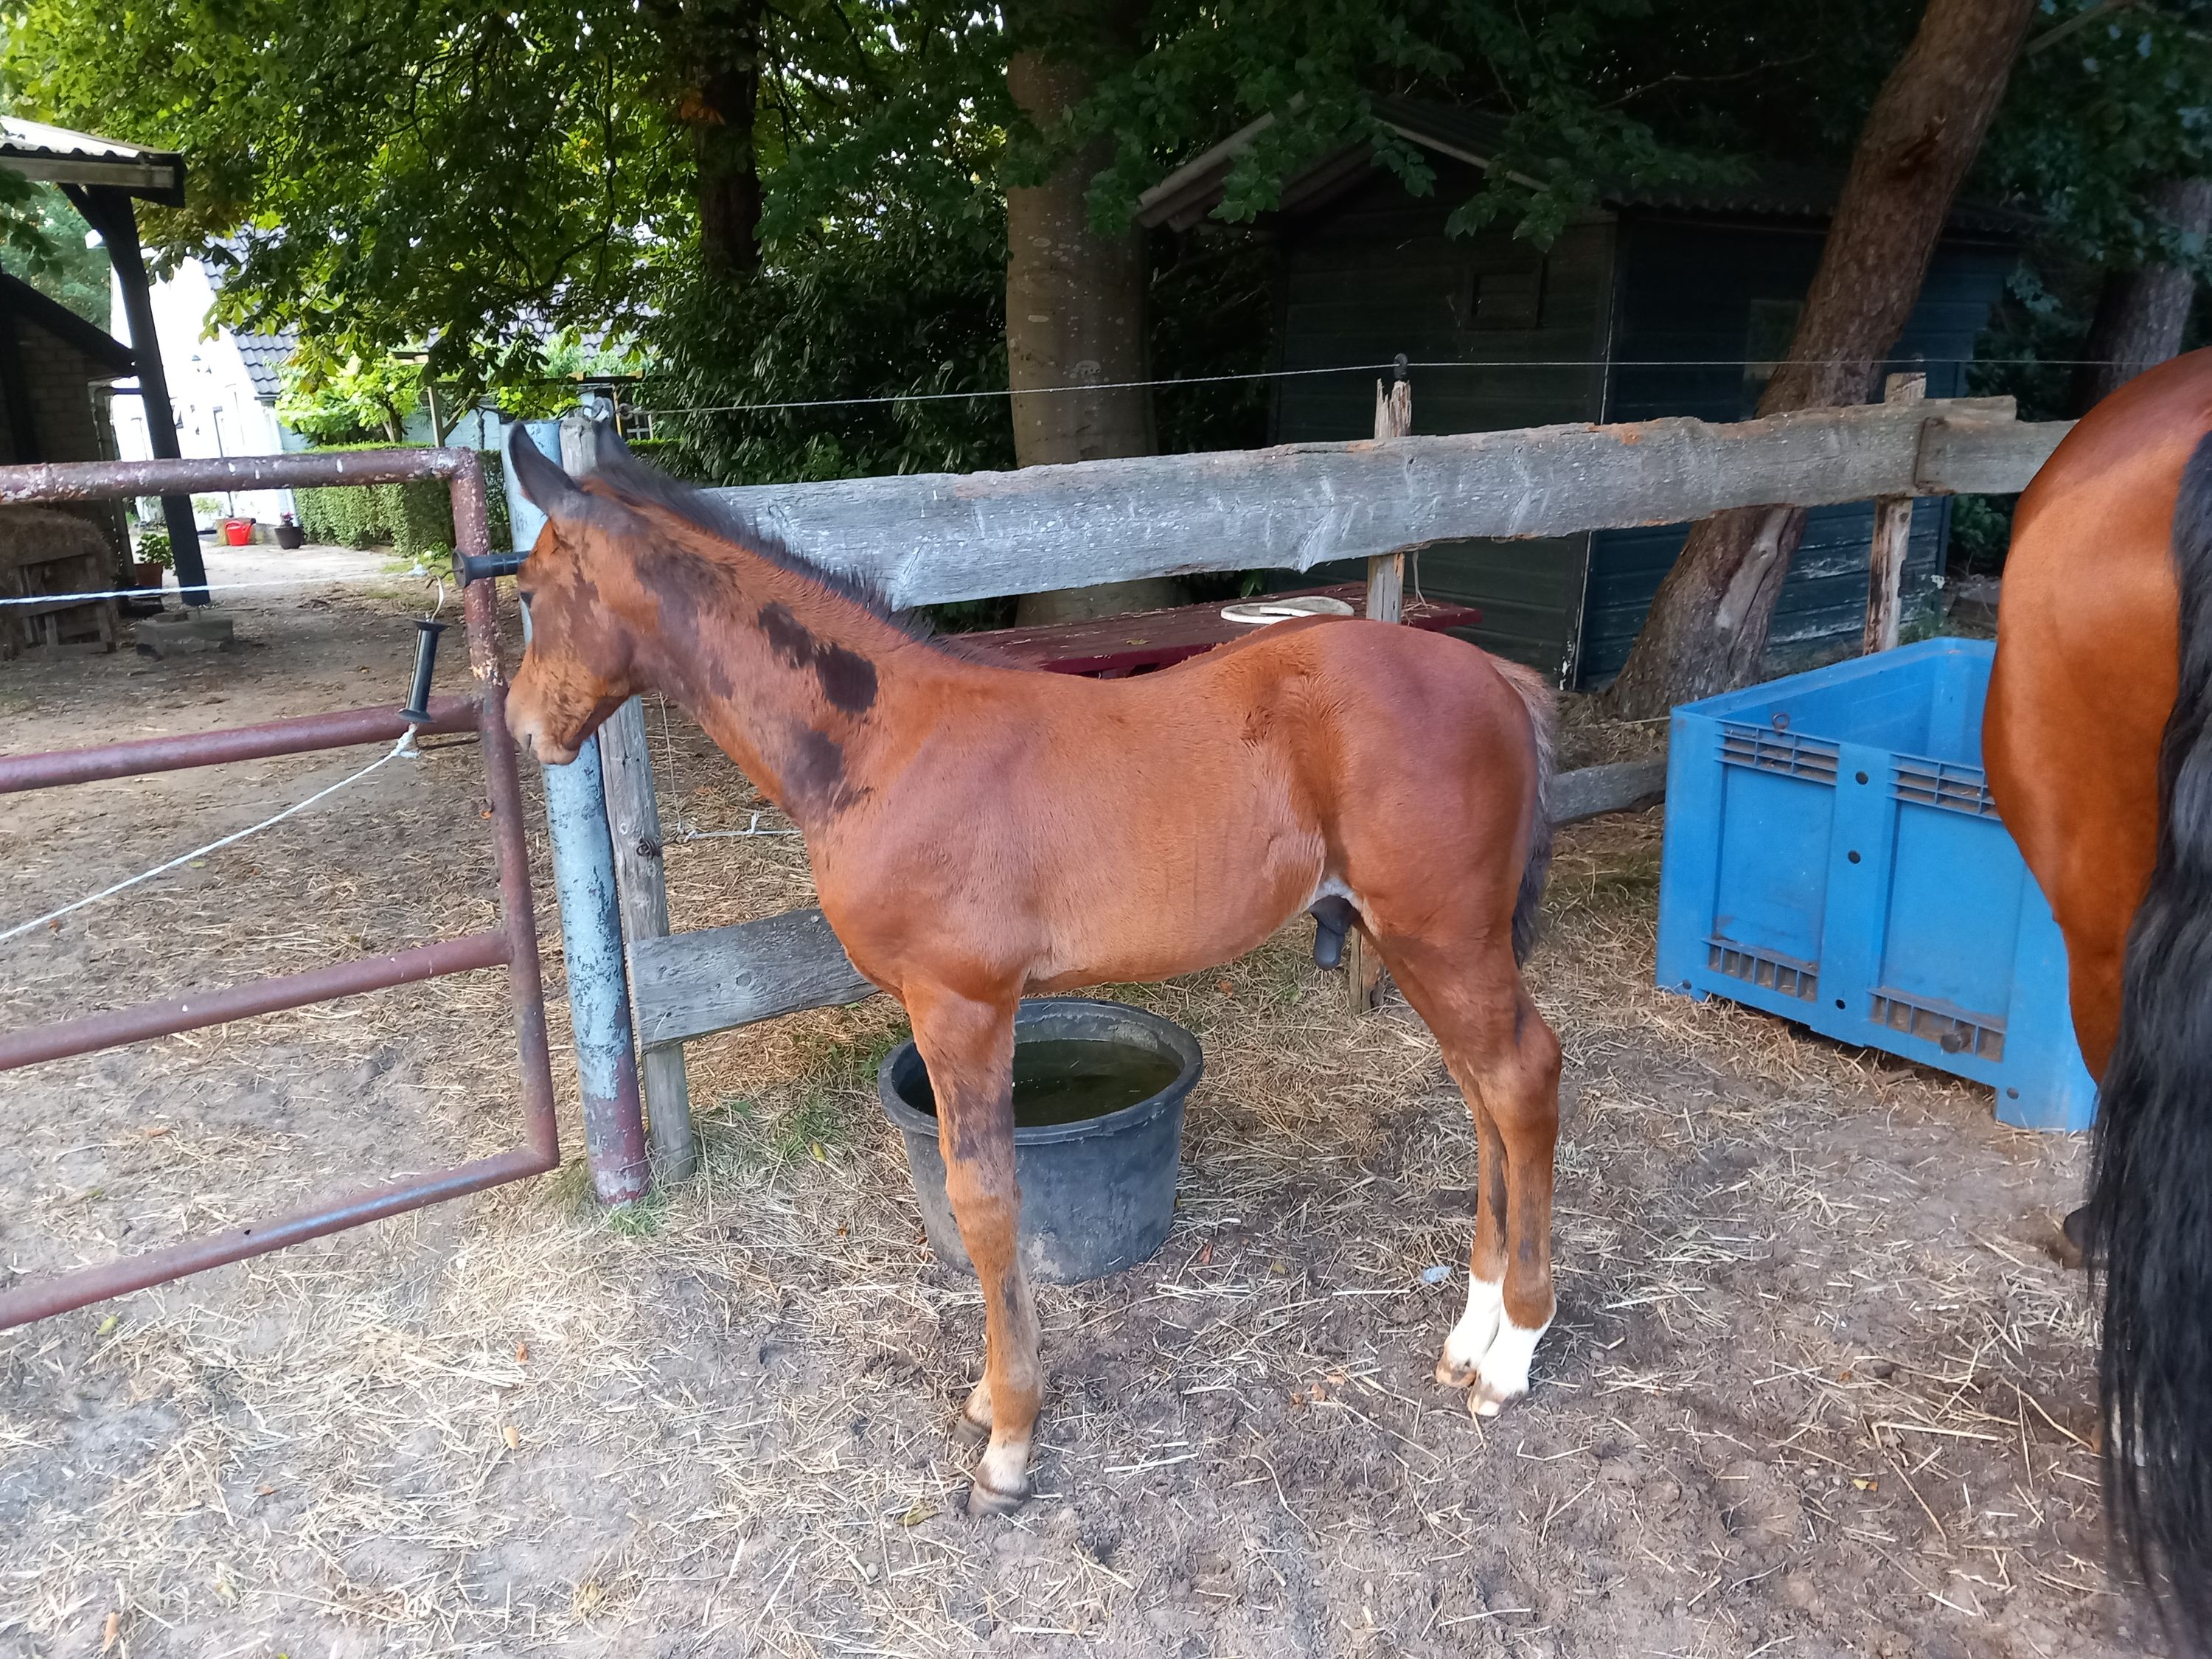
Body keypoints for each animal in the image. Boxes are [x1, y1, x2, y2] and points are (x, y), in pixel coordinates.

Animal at [498, 423, 1560, 1513]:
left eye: (528, 590)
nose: (522, 725)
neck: (889, 744)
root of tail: (1497, 679)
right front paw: (991, 1400)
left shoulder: (960, 1002)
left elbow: (985, 1200)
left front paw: (1008, 1436)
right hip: (1423, 943)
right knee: (1483, 1091)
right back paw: (1469, 1332)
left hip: (1445, 936)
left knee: (1523, 1078)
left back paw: (1513, 1350)